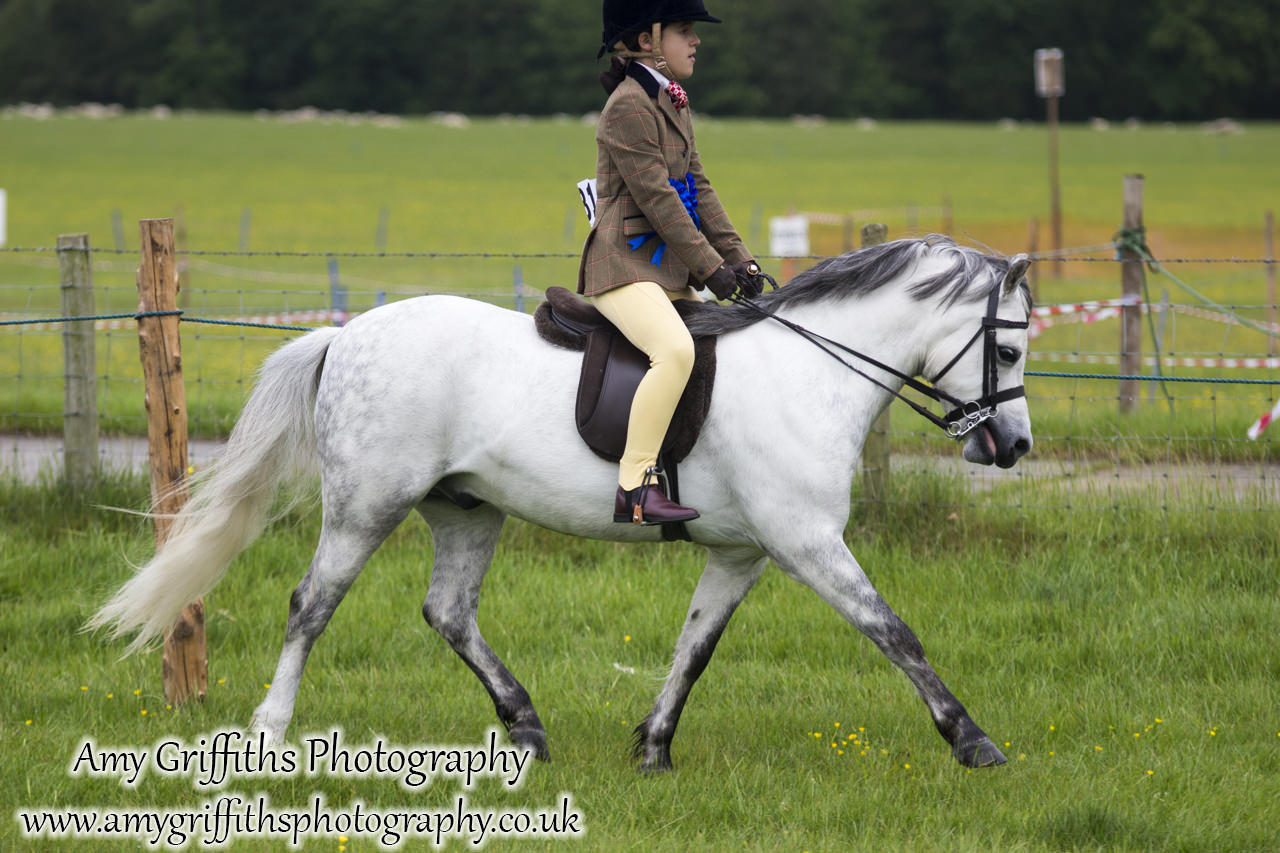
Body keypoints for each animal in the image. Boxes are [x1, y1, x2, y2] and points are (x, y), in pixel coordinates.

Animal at [87, 234, 1029, 768]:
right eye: (1010, 346)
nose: (1014, 447)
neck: (810, 368)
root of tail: (345, 335)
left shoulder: (742, 553)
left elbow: (693, 649)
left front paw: (653, 746)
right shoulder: (805, 543)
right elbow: (895, 632)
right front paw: (972, 738)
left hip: (467, 508)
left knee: (448, 611)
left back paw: (527, 727)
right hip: (365, 504)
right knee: (311, 604)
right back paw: (270, 732)